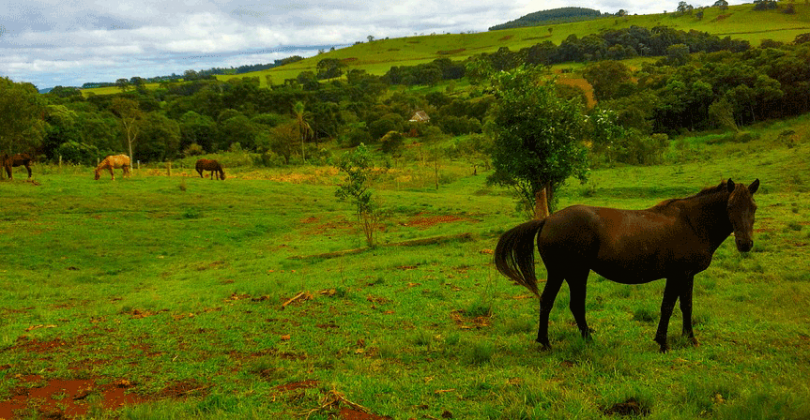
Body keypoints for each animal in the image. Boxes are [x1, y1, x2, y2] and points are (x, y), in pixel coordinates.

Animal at [492, 179, 756, 352]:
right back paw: (550, 342)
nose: (745, 244)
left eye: (753, 207)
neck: (691, 223)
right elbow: (668, 307)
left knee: (566, 304)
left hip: (571, 273)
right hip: (567, 272)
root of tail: (547, 220)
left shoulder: (687, 275)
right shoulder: (676, 274)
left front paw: (690, 339)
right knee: (556, 303)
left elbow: (686, 306)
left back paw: (577, 339)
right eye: (730, 207)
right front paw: (663, 342)